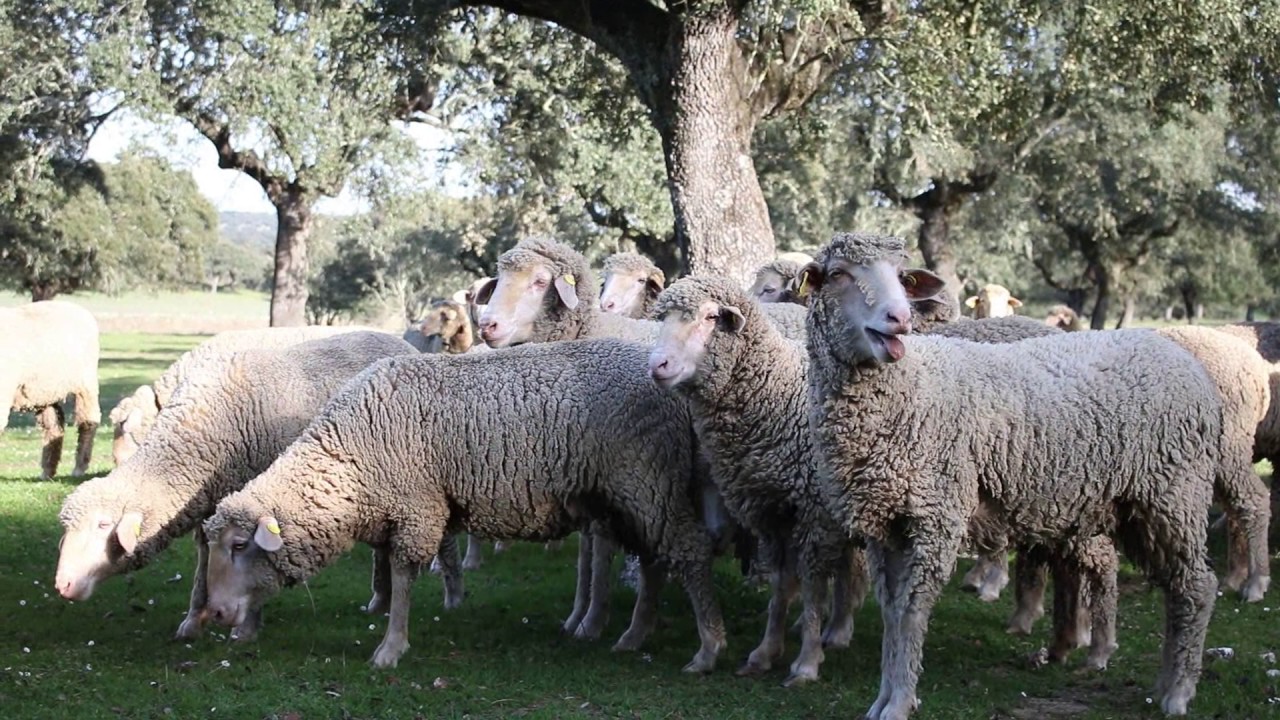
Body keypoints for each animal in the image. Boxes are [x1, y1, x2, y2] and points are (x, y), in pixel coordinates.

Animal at [0, 300, 100, 478]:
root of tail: (81, 310)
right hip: (45, 392)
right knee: (54, 426)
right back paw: (47, 472)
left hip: (85, 382)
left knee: (88, 422)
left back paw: (79, 468)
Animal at [200, 339, 727, 673]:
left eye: (241, 545)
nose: (216, 614)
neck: (349, 456)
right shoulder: (394, 512)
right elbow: (390, 573)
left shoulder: (417, 509)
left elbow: (404, 578)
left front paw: (391, 649)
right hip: (630, 495)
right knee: (656, 559)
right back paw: (634, 636)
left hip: (647, 479)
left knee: (690, 551)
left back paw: (708, 649)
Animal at [648, 275, 868, 686]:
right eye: (662, 318)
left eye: (710, 317)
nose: (657, 365)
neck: (774, 390)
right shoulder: (770, 510)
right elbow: (781, 582)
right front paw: (765, 652)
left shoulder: (813, 510)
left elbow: (812, 584)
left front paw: (806, 663)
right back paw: (837, 629)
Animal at [802, 231, 1254, 717]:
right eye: (838, 274)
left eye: (904, 278)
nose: (899, 319)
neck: (912, 389)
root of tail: (1183, 358)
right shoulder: (886, 525)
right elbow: (891, 610)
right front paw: (884, 697)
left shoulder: (935, 516)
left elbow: (911, 611)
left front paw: (900, 701)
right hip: (1134, 506)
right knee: (1171, 587)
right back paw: (1161, 677)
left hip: (1175, 494)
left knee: (1196, 587)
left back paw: (1179, 691)